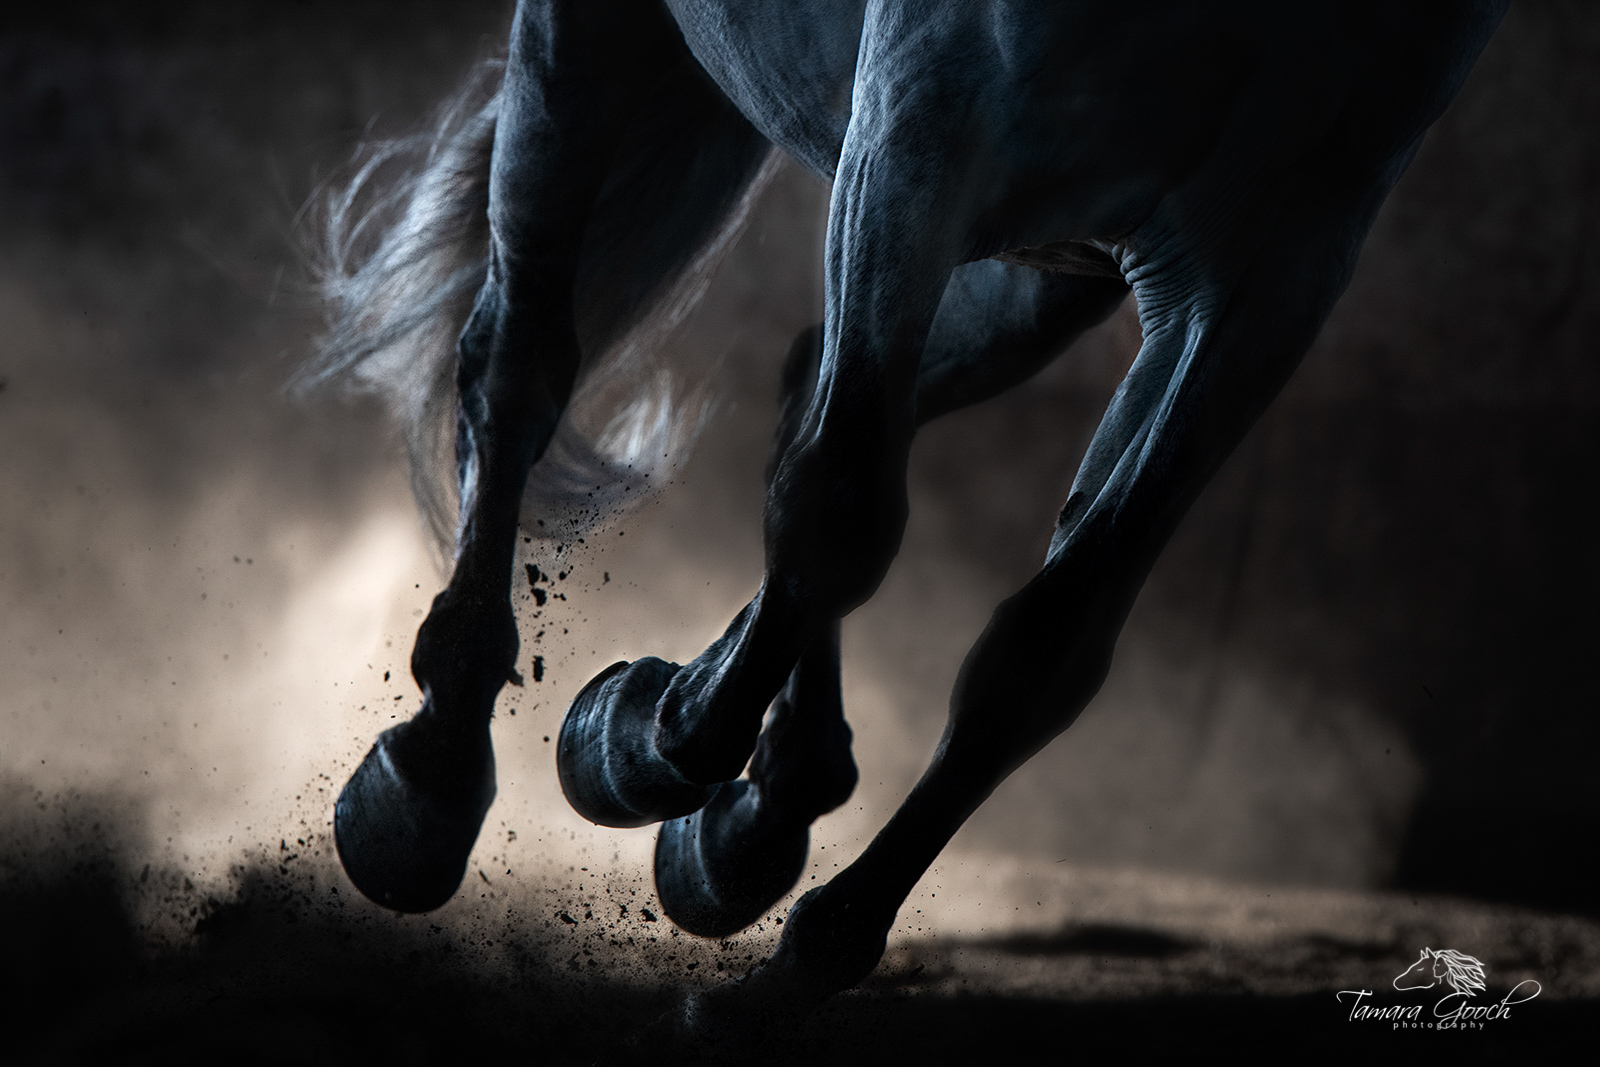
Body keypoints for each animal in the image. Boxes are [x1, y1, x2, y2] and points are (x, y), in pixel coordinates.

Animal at [308, 0, 1510, 1036]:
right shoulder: (923, 124)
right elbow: (836, 520)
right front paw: (640, 738)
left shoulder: (1269, 270)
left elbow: (1044, 652)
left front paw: (798, 957)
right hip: (608, 46)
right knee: (520, 365)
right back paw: (431, 783)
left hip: (1046, 273)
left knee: (810, 383)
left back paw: (764, 808)